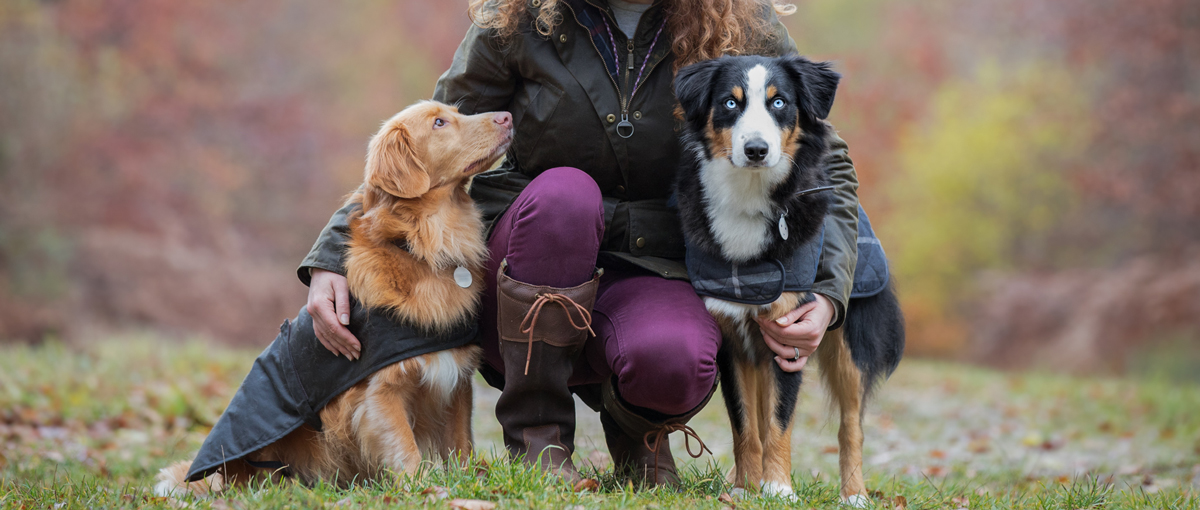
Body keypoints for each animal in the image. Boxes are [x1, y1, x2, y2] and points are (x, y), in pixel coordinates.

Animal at [157, 101, 513, 494]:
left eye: (454, 112)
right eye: (439, 122)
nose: (507, 117)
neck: (420, 244)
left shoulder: (455, 380)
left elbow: (461, 441)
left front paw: (468, 481)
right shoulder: (380, 393)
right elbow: (405, 448)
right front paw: (425, 489)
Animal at [676, 53, 902, 504]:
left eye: (779, 102)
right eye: (730, 103)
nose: (756, 149)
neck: (750, 195)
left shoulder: (792, 330)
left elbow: (780, 423)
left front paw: (778, 488)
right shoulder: (732, 336)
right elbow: (746, 425)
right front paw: (746, 488)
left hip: (849, 346)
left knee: (852, 426)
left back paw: (854, 494)